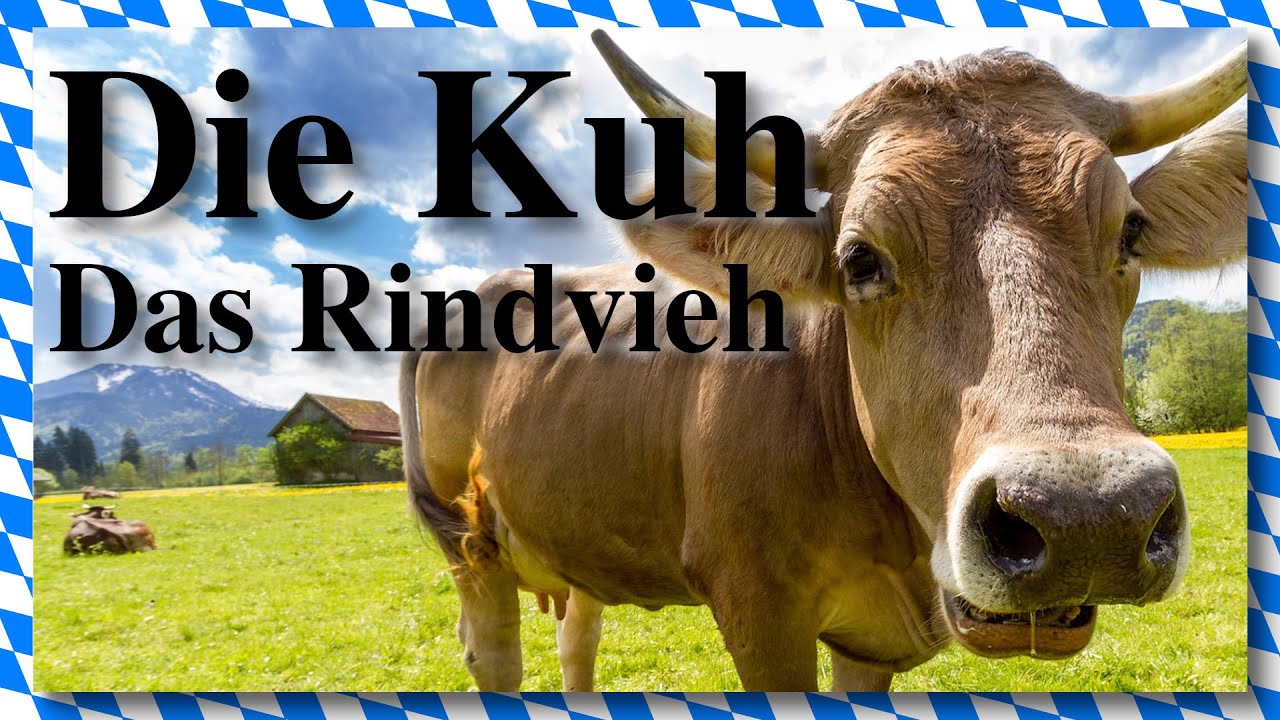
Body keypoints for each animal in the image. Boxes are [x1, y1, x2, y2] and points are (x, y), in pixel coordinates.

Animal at [400, 33, 1247, 691]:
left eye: (1130, 230)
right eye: (859, 258)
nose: (1089, 517)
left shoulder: (868, 643)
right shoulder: (758, 611)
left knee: (577, 639)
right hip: (467, 537)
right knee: (493, 655)